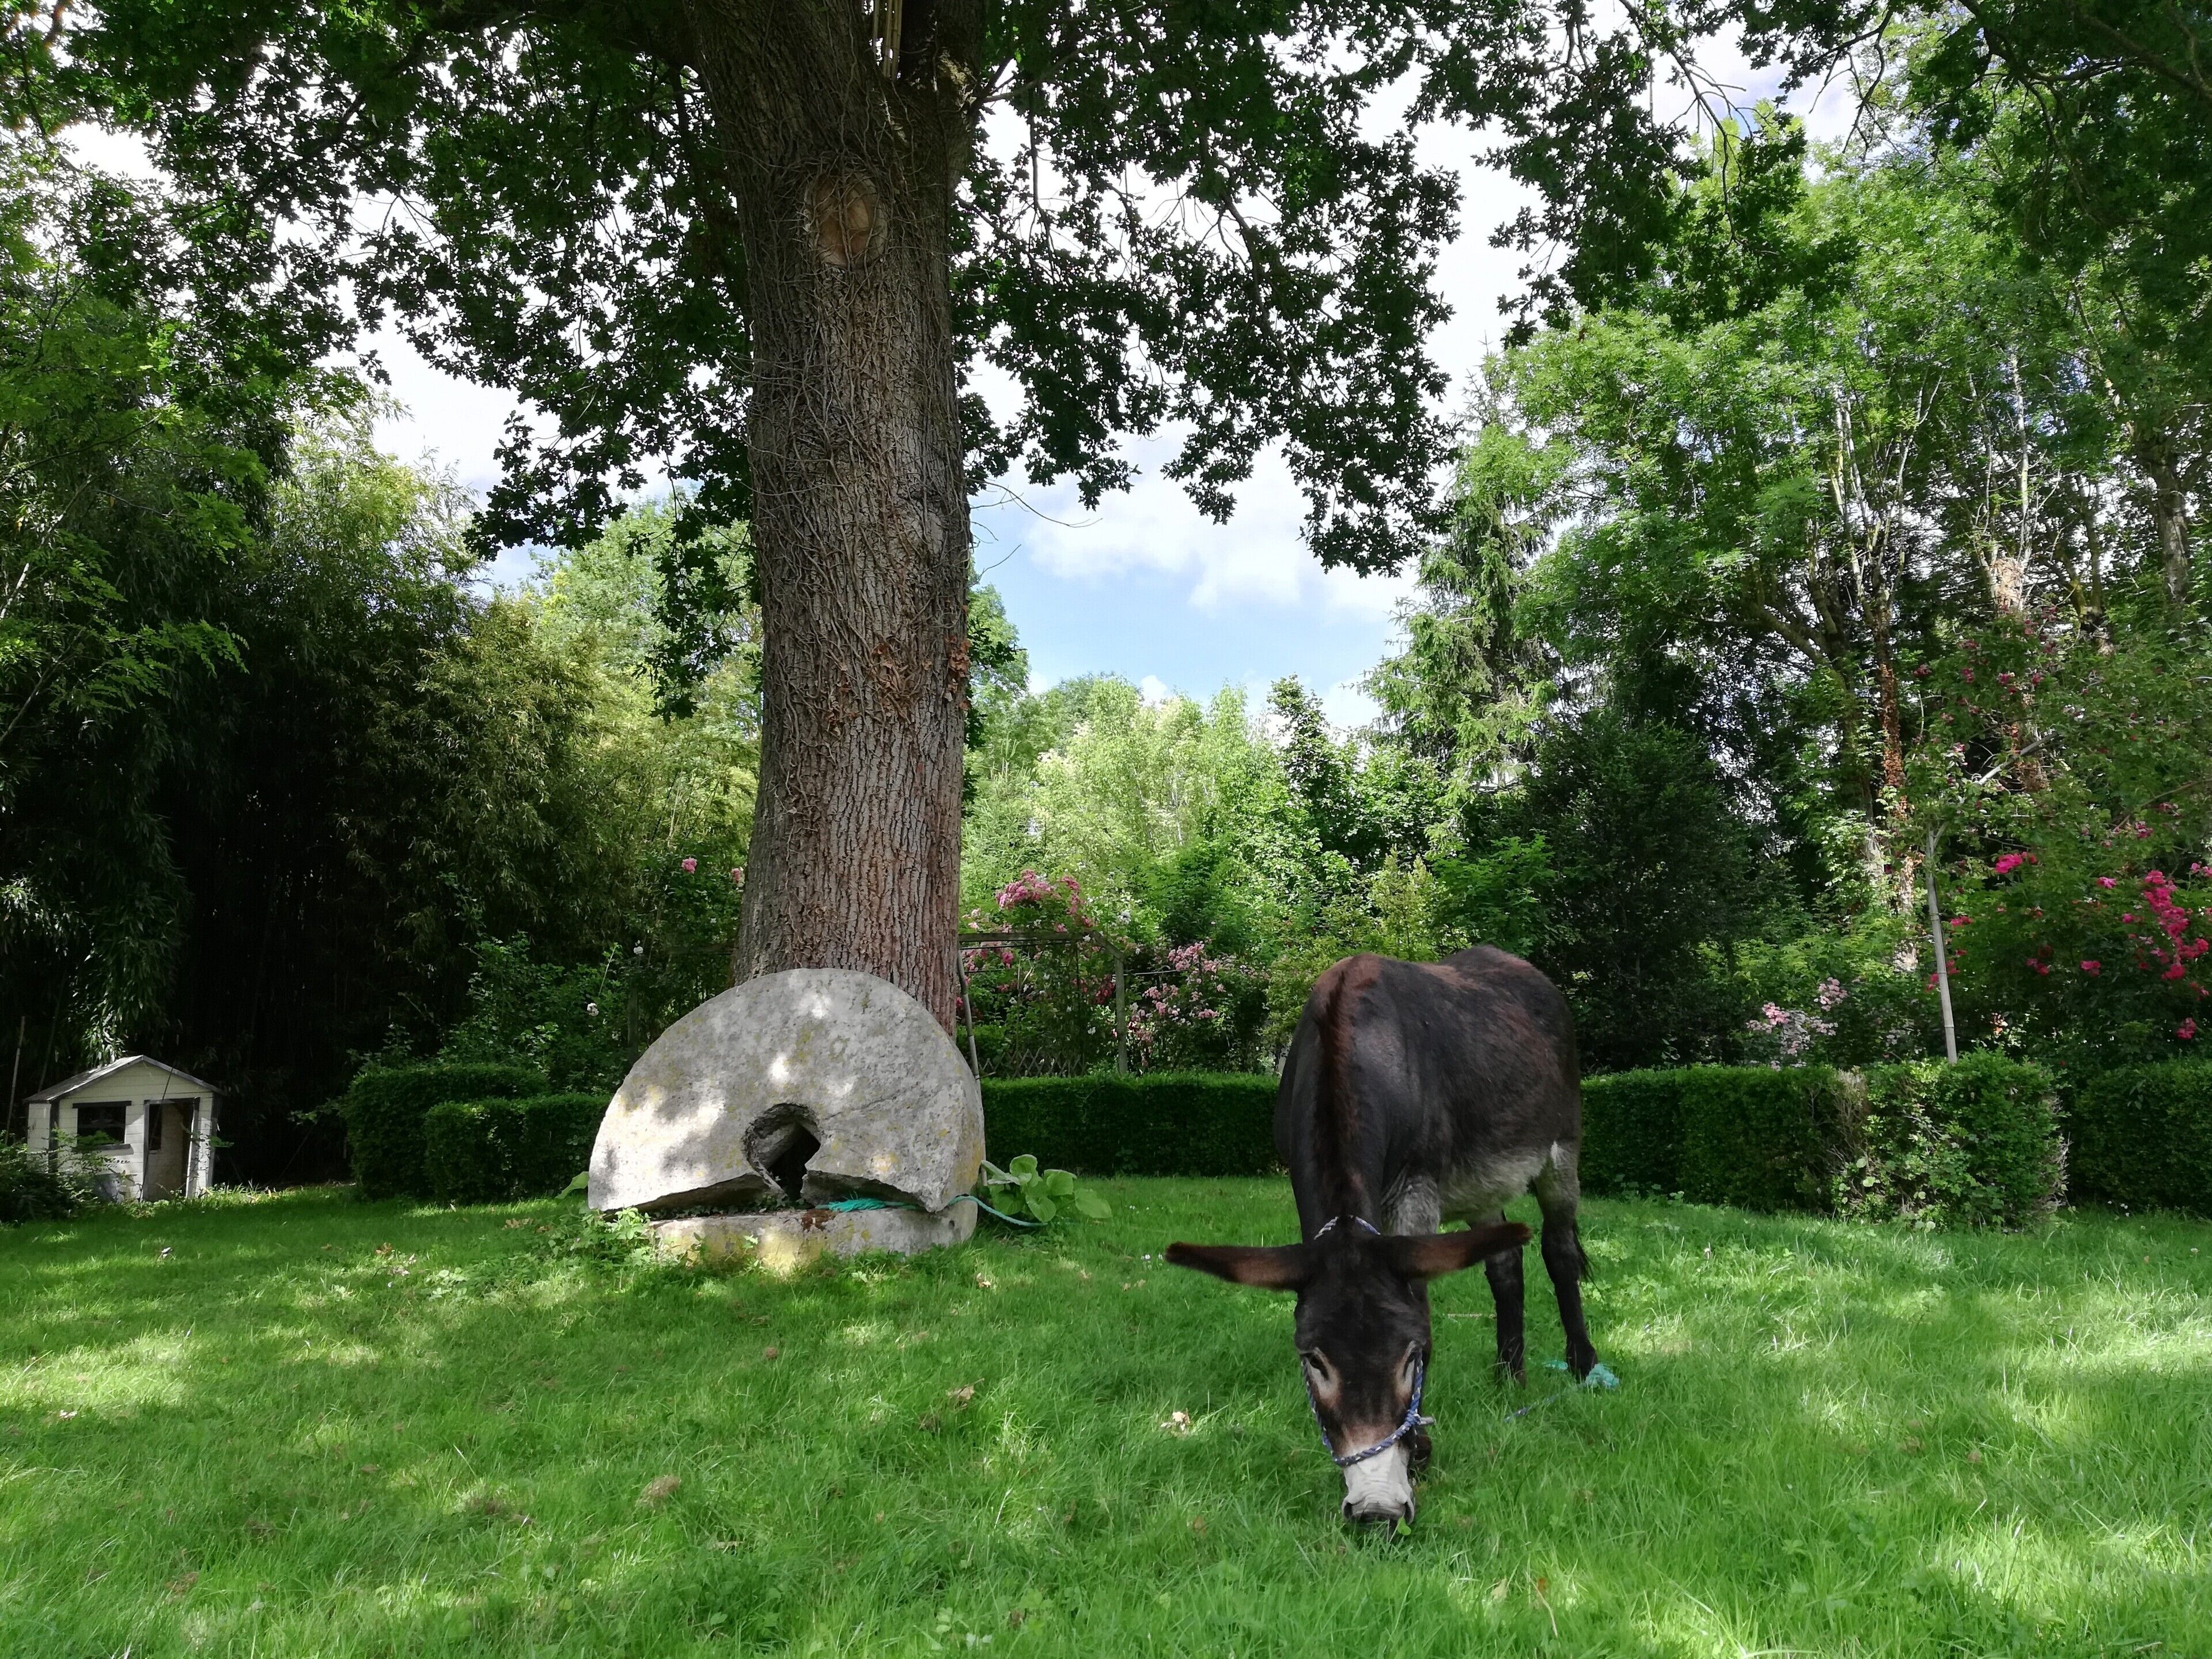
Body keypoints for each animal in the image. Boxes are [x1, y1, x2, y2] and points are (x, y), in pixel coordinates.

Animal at [1166, 947, 1596, 1526]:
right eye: (1314, 1361)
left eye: (1415, 1356)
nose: (1377, 1510)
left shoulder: (1416, 1193)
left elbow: (1423, 1301)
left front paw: (1420, 1453)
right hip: (1483, 1187)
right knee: (1505, 1267)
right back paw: (1510, 1377)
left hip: (1561, 1152)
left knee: (1559, 1251)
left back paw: (1584, 1366)